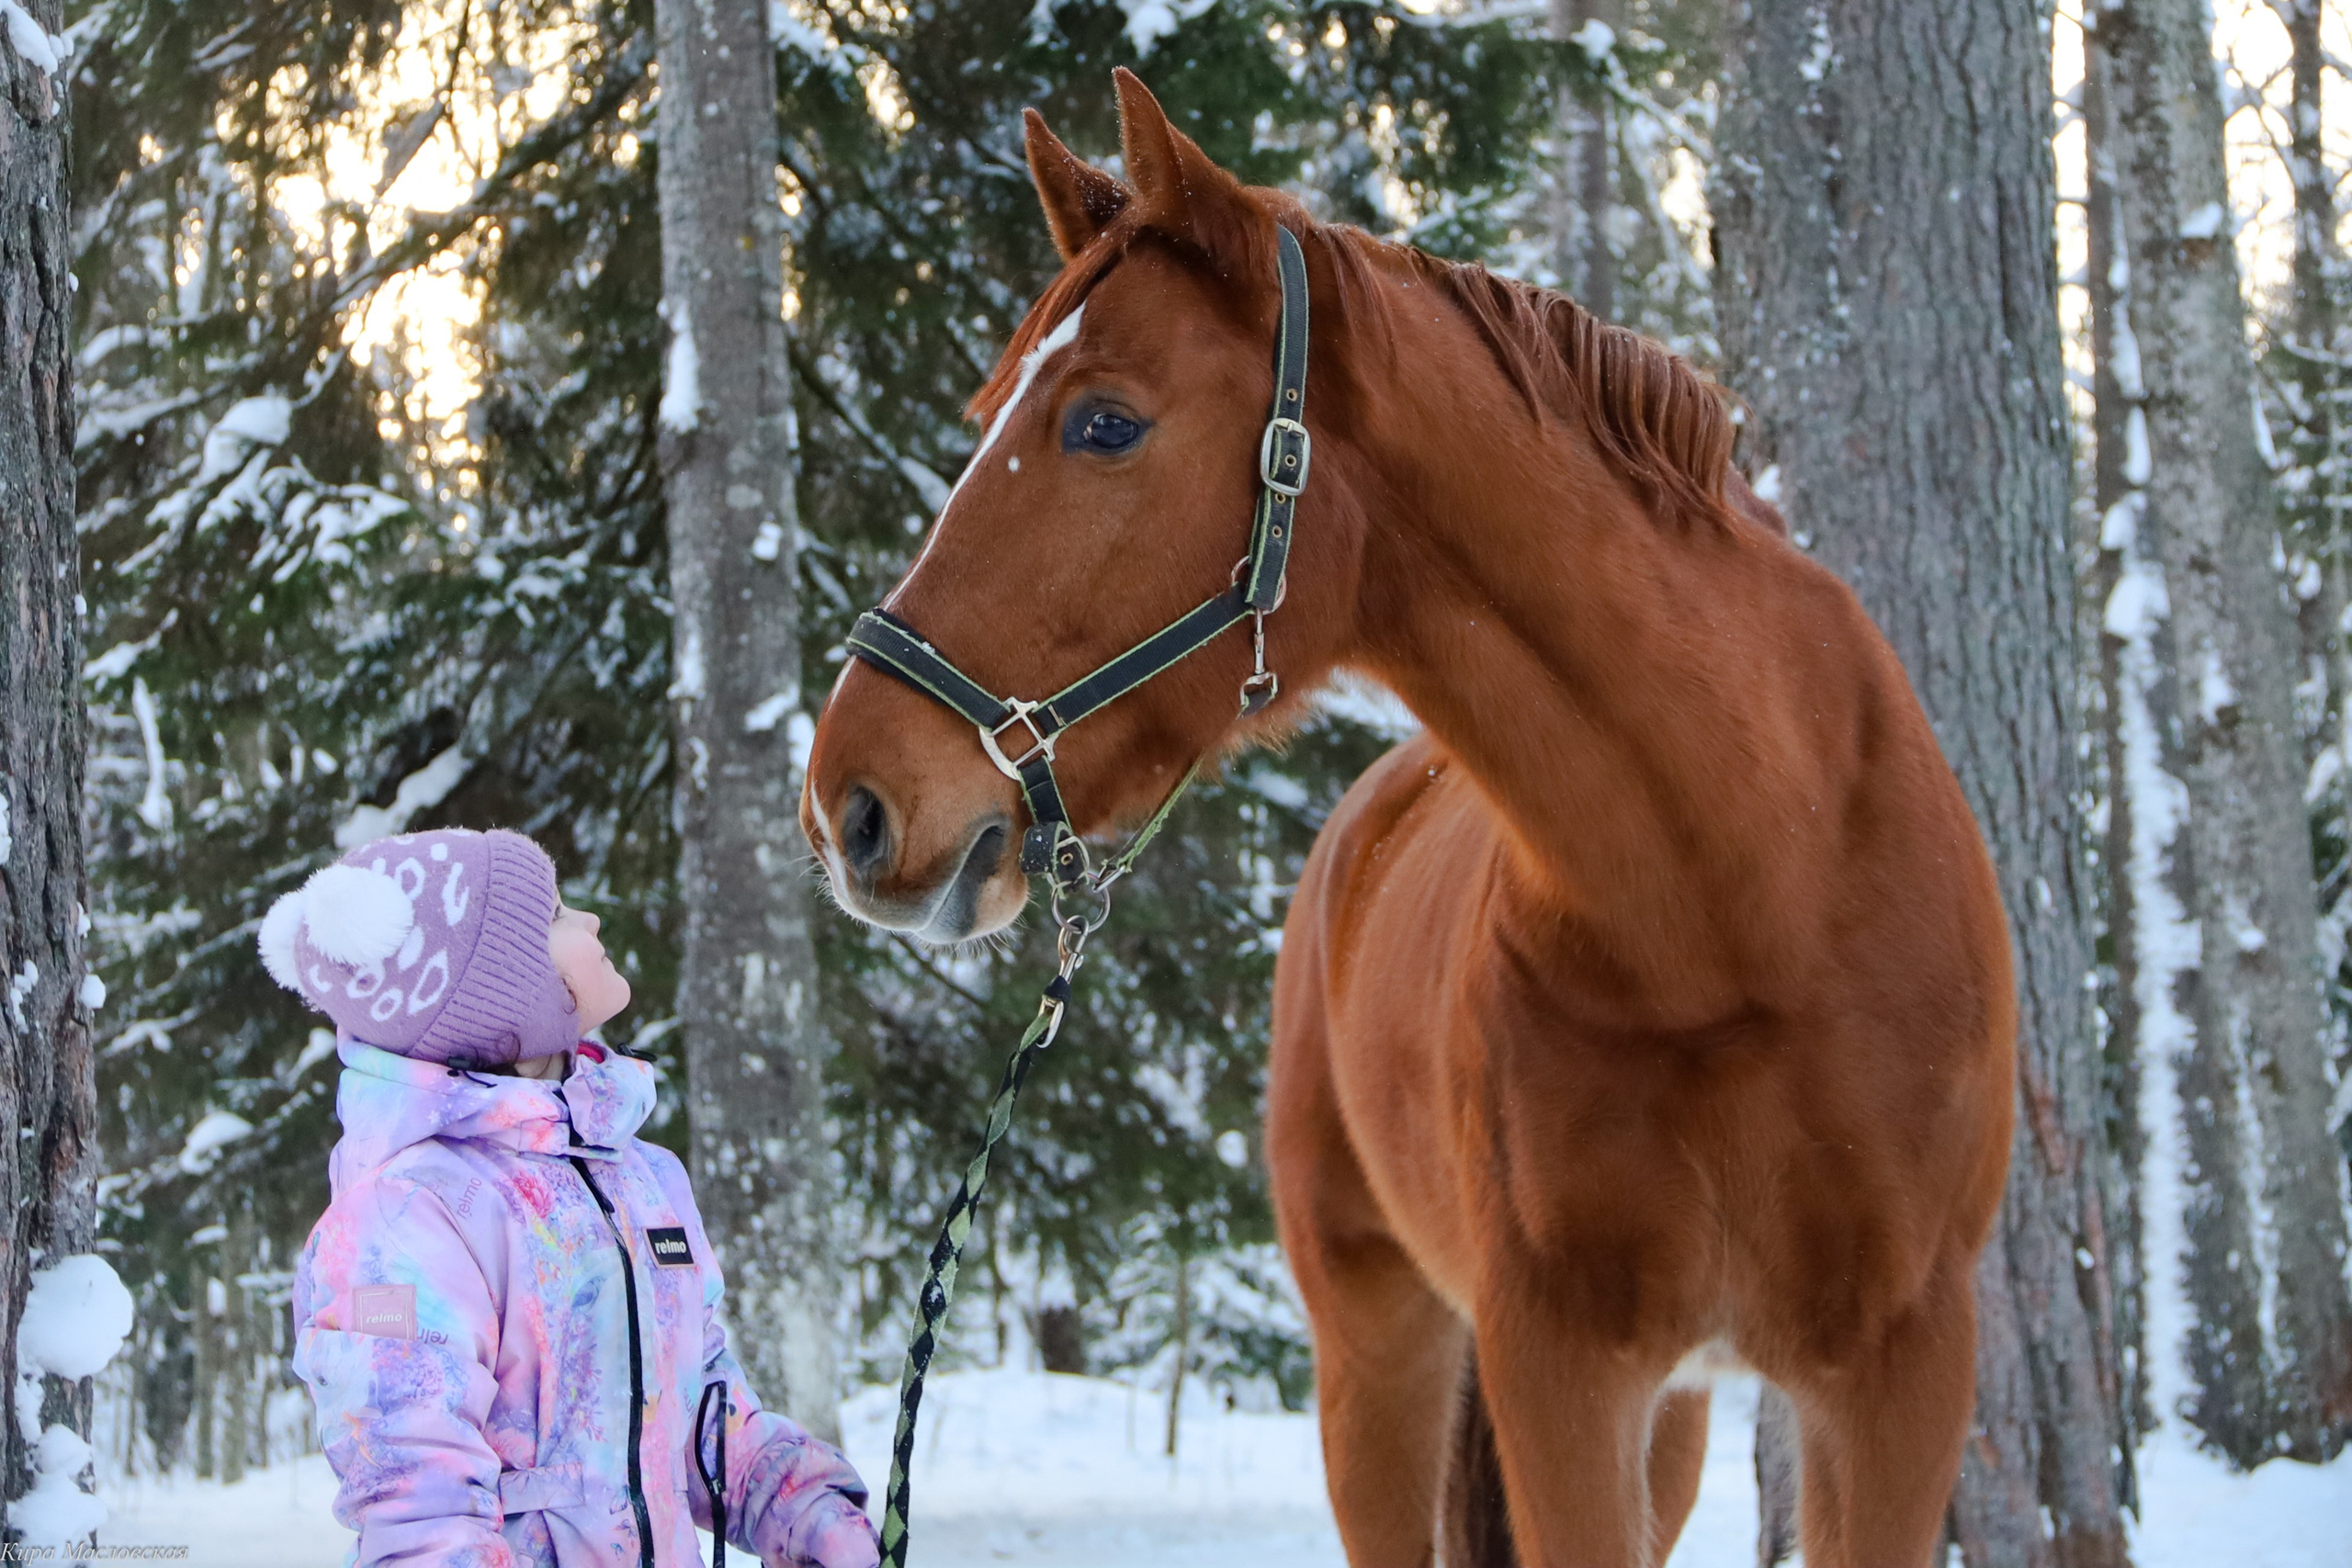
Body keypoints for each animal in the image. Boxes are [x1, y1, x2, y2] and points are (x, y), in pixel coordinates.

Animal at [800, 69, 2015, 1568]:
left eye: (1103, 422)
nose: (849, 801)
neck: (1751, 911)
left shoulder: (1899, 1378)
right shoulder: (1558, 1360)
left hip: (1666, 1413)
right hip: (1379, 1359)